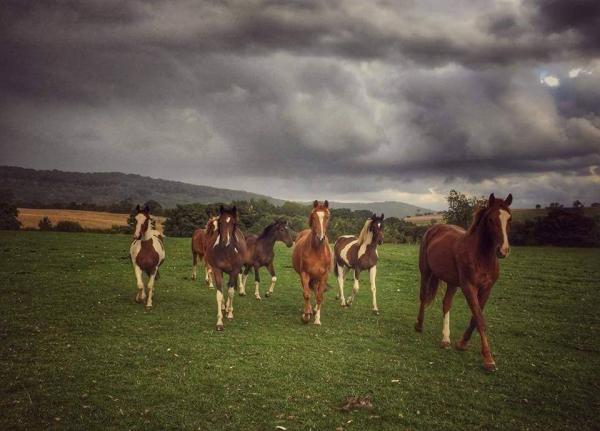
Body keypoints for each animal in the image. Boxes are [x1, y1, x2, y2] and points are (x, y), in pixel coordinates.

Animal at [414, 192, 512, 372]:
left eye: (509, 219)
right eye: (491, 219)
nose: (503, 250)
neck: (480, 256)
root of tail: (434, 229)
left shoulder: (486, 289)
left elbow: (475, 318)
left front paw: (462, 343)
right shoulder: (469, 287)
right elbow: (479, 318)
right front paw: (488, 359)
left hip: (452, 282)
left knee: (446, 303)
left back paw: (446, 339)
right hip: (426, 272)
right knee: (424, 296)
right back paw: (419, 325)